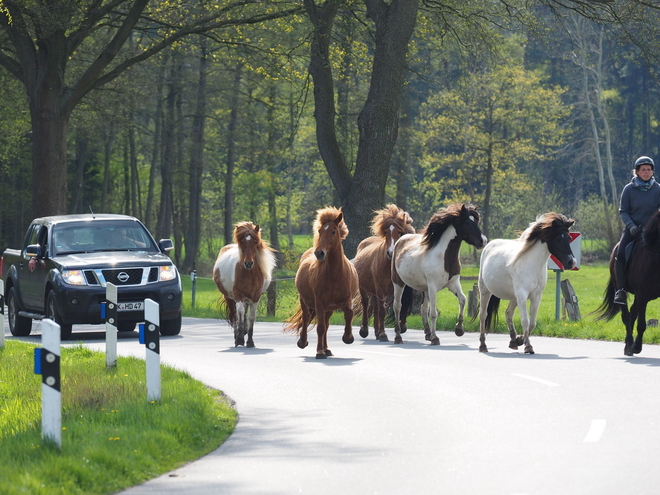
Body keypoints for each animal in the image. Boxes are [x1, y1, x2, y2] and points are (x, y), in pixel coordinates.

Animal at [282, 206, 358, 360]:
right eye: (320, 231)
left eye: (333, 231)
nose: (319, 253)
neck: (334, 276)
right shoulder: (320, 303)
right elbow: (320, 327)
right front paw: (319, 352)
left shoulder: (346, 300)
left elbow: (349, 314)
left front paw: (348, 337)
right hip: (305, 302)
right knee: (307, 318)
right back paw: (303, 342)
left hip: (329, 308)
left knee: (327, 325)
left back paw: (327, 349)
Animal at [354, 204, 416, 340]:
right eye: (386, 232)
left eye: (400, 232)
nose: (391, 253)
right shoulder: (380, 288)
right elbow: (382, 311)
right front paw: (383, 334)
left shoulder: (398, 287)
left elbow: (399, 304)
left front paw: (401, 326)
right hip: (364, 288)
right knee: (366, 304)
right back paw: (365, 330)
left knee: (376, 307)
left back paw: (377, 332)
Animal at [390, 203, 488, 346]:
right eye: (466, 222)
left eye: (476, 221)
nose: (483, 241)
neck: (443, 257)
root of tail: (400, 240)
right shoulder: (433, 287)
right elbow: (433, 313)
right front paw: (435, 338)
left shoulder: (453, 284)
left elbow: (463, 300)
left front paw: (459, 329)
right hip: (398, 283)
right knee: (397, 306)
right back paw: (398, 337)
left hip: (424, 289)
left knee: (423, 308)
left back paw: (427, 334)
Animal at [476, 213, 576, 356]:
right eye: (557, 238)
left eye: (568, 237)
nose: (571, 262)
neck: (532, 264)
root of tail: (489, 245)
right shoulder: (522, 295)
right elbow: (525, 321)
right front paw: (528, 346)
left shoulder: (537, 296)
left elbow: (532, 323)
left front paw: (521, 340)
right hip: (485, 291)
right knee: (483, 315)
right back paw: (483, 345)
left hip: (514, 297)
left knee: (508, 313)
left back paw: (513, 341)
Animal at [596, 209, 660, 356]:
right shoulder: (642, 295)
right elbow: (641, 324)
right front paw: (637, 346)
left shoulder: (642, 296)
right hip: (623, 291)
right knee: (626, 316)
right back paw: (629, 345)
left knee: (632, 313)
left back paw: (628, 345)